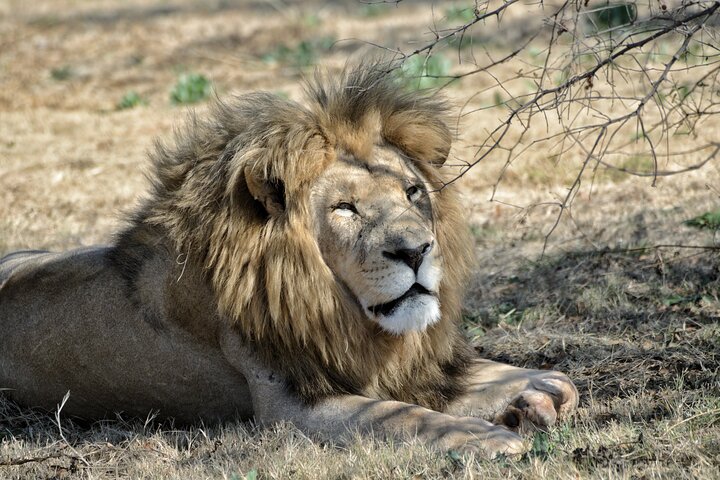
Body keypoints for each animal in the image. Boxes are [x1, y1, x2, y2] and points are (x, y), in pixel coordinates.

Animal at [0, 65, 577, 457]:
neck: (347, 314)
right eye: (345, 208)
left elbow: (497, 374)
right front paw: (481, 435)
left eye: (413, 192)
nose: (415, 251)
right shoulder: (291, 407)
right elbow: (399, 415)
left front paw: (537, 390)